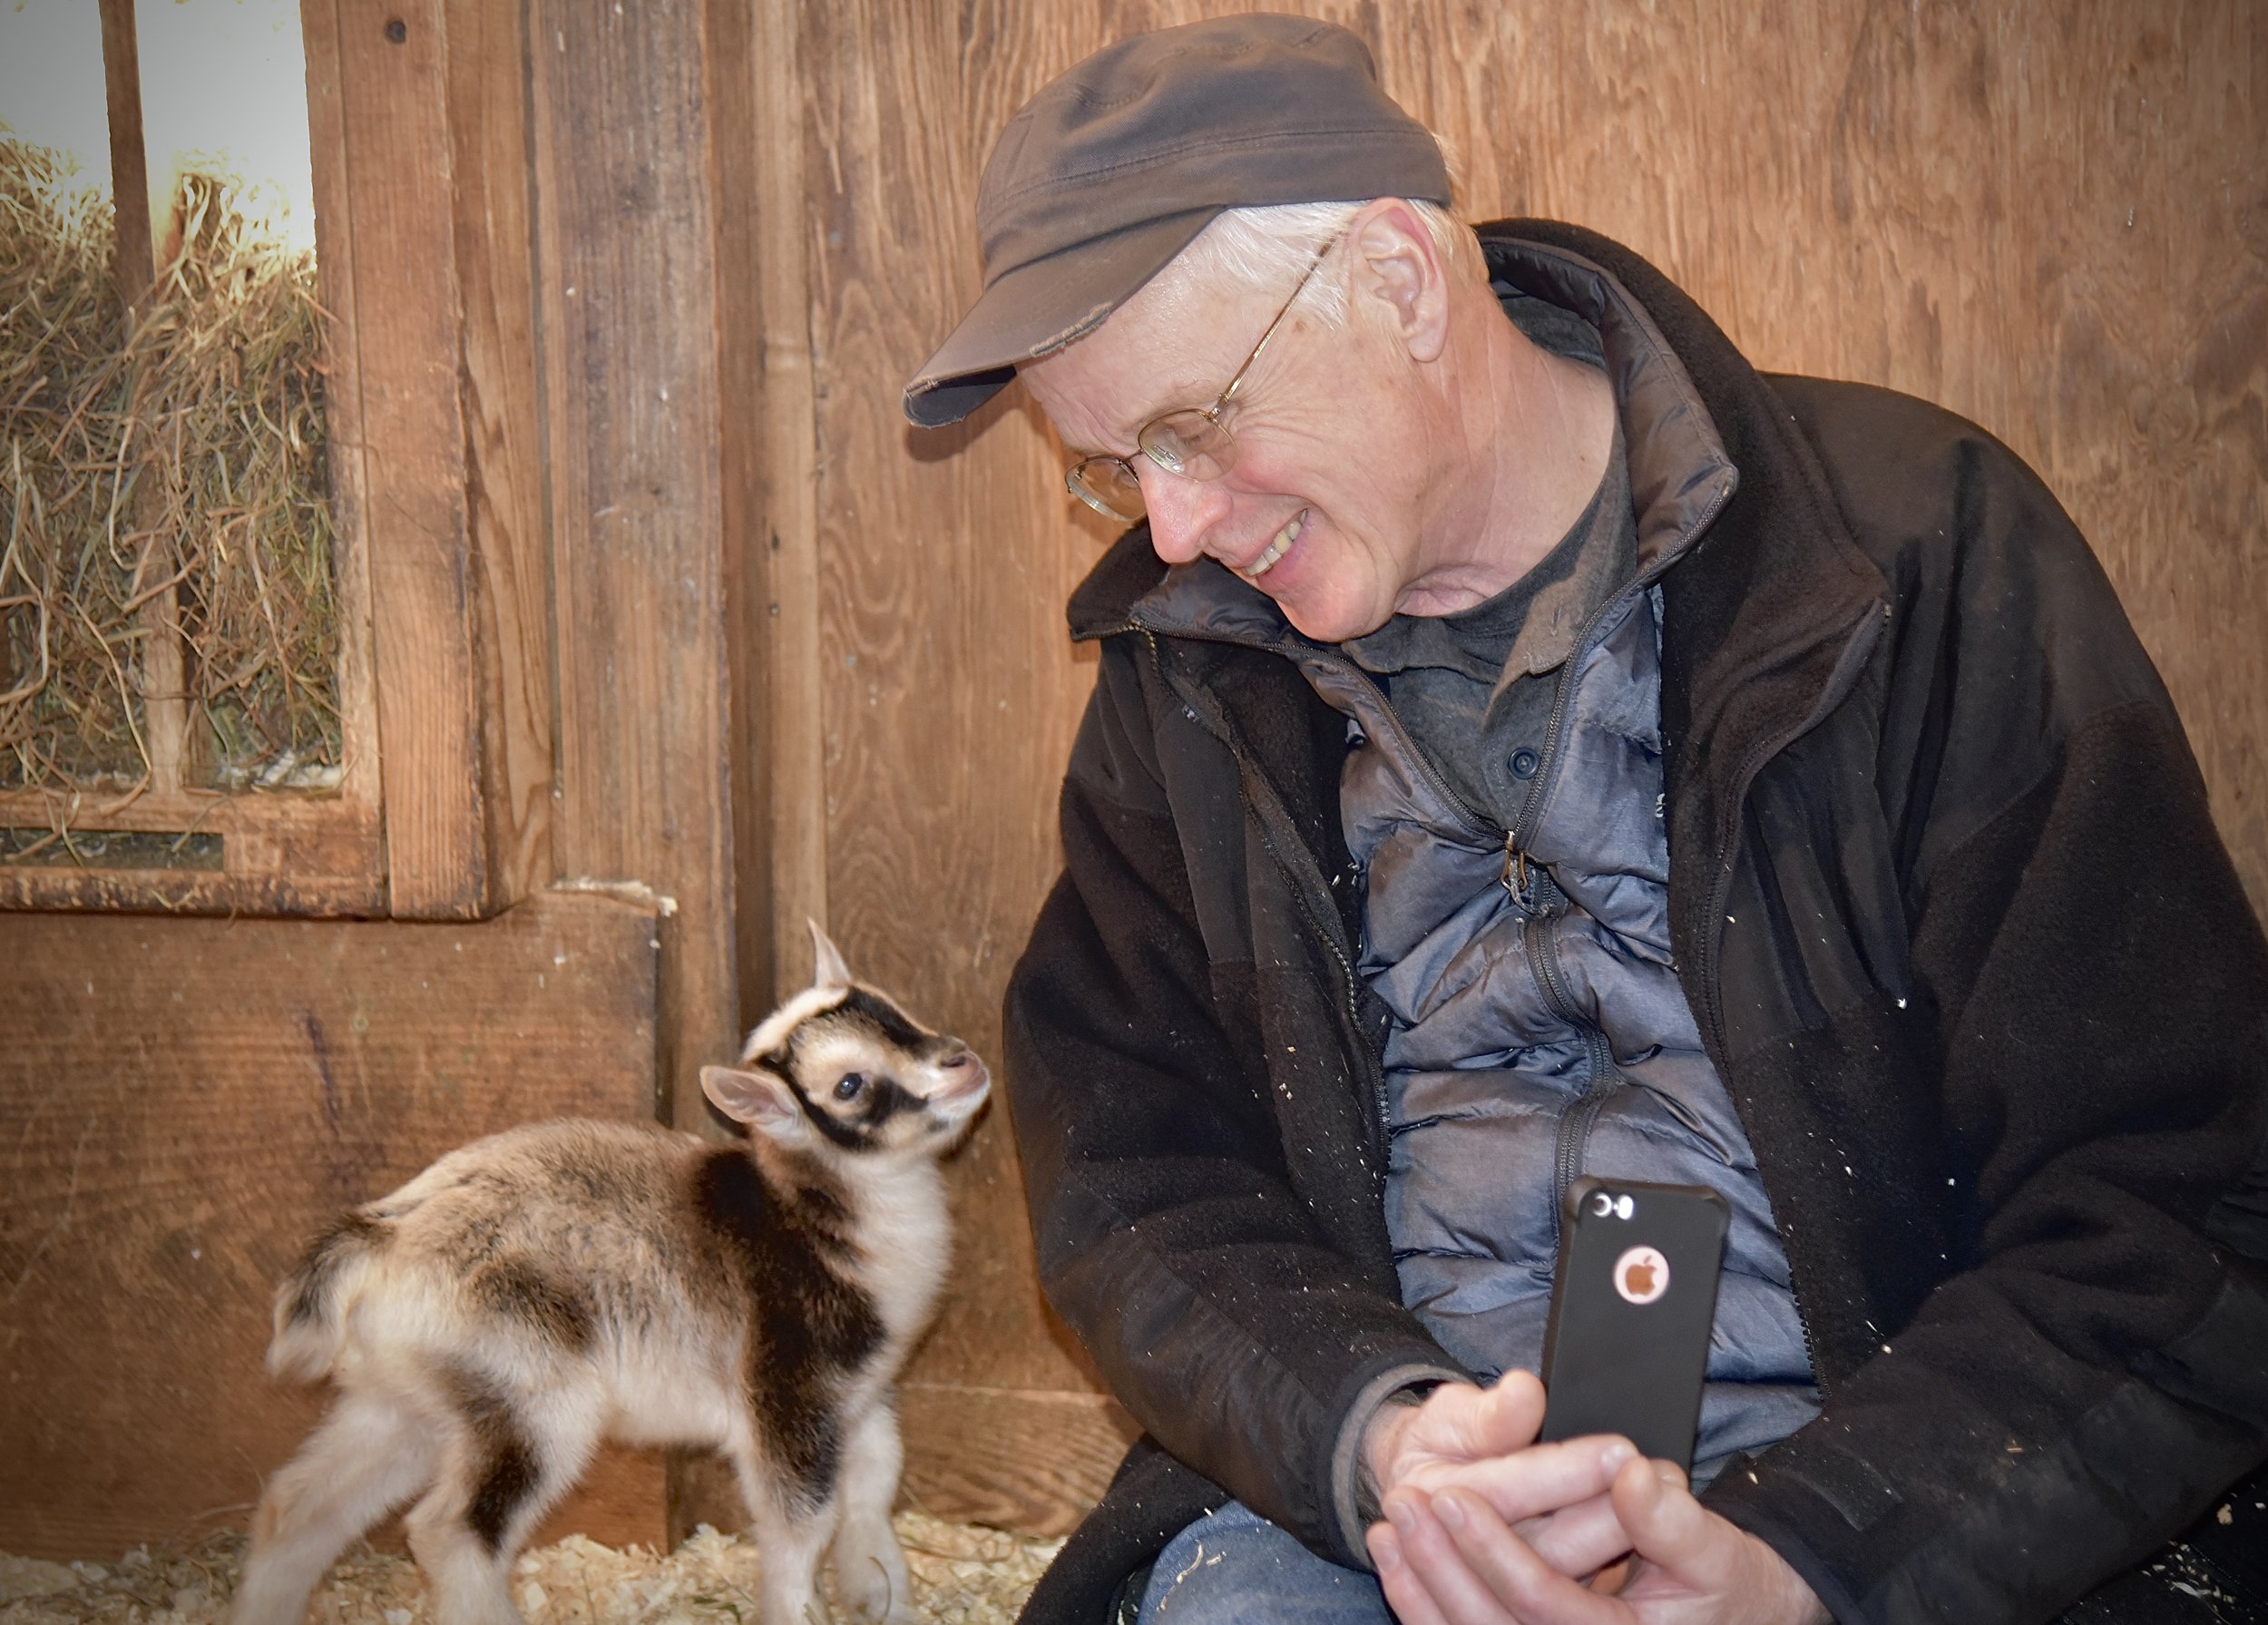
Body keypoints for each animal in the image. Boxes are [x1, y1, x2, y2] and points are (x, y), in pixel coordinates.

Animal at [228, 925, 993, 1625]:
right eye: (850, 1085)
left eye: (894, 1011)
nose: (963, 1064)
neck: (814, 1212)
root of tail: (385, 1236)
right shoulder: (786, 1398)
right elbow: (801, 1523)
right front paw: (800, 1608)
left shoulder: (857, 1398)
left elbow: (872, 1487)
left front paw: (883, 1596)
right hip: (530, 1399)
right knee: (448, 1530)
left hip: (408, 1403)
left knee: (297, 1505)